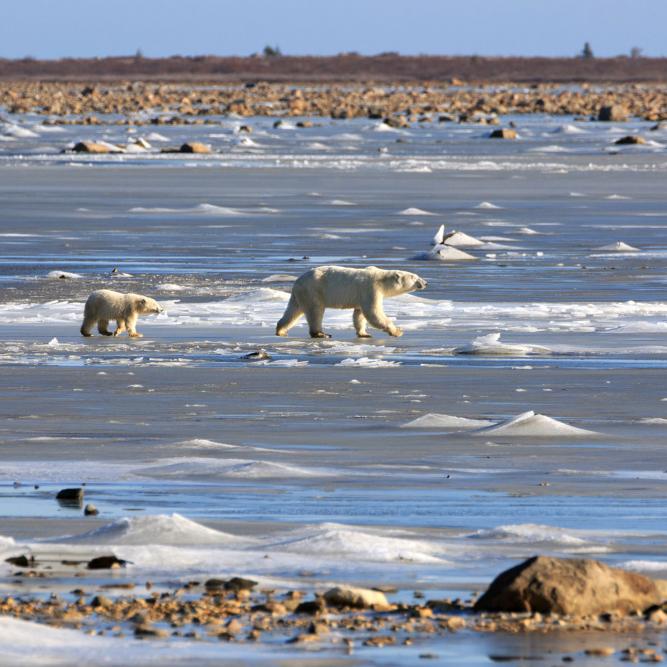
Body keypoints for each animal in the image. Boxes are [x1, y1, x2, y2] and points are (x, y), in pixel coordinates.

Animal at [276, 266, 428, 340]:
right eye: (415, 277)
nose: (426, 282)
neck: (382, 279)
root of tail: (297, 281)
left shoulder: (363, 295)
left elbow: (359, 314)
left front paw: (364, 334)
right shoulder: (371, 289)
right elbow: (373, 313)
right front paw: (397, 331)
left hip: (300, 294)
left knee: (293, 311)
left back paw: (281, 330)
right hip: (314, 290)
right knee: (315, 311)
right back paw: (321, 334)